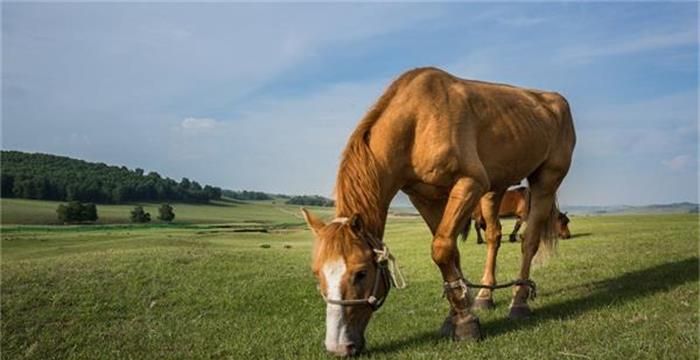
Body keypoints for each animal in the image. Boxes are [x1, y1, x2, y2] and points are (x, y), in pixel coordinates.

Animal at [300, 66, 576, 356]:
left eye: (361, 273)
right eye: (316, 273)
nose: (338, 346)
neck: (417, 123)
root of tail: (554, 101)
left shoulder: (469, 183)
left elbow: (441, 249)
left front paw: (465, 323)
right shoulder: (424, 198)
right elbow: (451, 253)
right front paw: (457, 312)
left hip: (546, 180)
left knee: (529, 240)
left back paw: (519, 302)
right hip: (495, 189)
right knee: (494, 236)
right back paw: (485, 296)